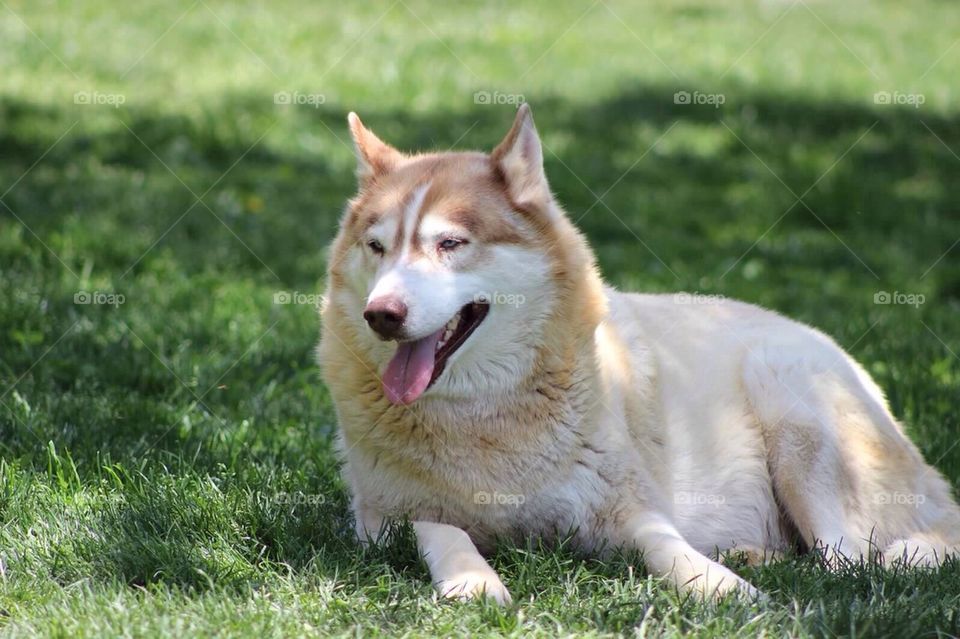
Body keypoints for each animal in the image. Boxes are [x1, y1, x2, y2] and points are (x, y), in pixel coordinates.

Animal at [320, 106, 960, 604]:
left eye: (450, 244)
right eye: (377, 247)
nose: (381, 314)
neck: (485, 417)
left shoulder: (633, 511)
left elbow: (667, 546)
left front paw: (720, 586)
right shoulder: (384, 524)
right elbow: (445, 534)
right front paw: (474, 583)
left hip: (792, 410)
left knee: (847, 563)